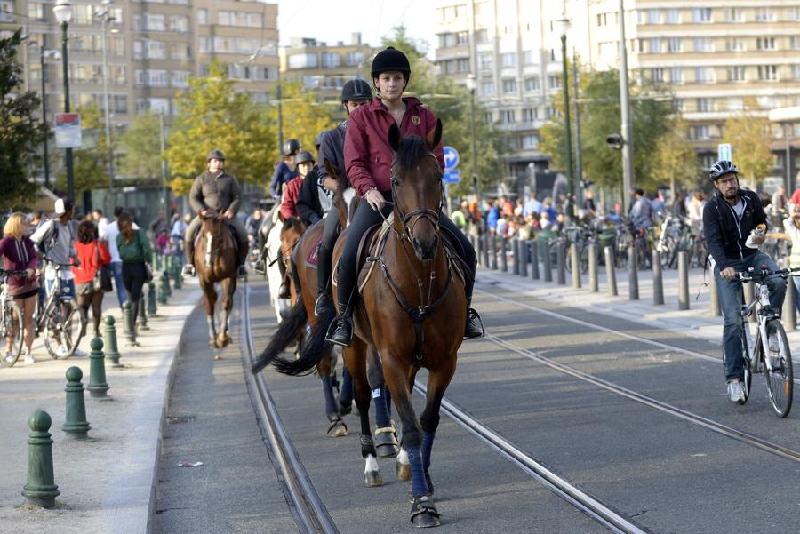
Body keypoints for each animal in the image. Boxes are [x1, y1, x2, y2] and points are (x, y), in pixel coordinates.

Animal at [195, 214, 239, 348]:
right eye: (203, 235)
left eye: (219, 237)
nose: (208, 261)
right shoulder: (204, 280)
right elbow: (209, 303)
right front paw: (213, 338)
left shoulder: (228, 277)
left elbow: (225, 303)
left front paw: (222, 338)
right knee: (213, 298)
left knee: (229, 301)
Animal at [262, 120, 462, 528]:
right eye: (395, 180)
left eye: (438, 176)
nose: (424, 241)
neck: (419, 280)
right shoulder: (388, 354)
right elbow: (405, 421)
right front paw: (422, 503)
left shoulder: (444, 360)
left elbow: (426, 419)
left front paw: (420, 475)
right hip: (348, 336)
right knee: (354, 386)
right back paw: (364, 451)